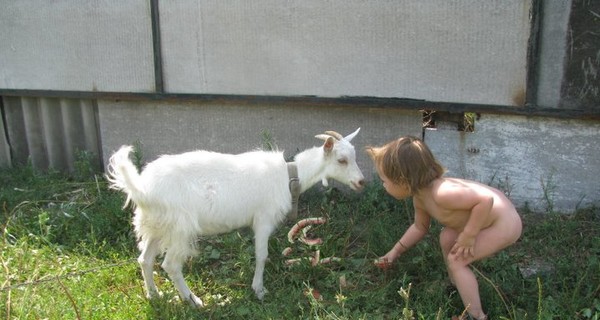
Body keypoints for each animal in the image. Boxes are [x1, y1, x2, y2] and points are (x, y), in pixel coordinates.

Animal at [105, 129, 364, 306]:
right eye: (341, 160)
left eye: (354, 157)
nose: (361, 182)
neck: (288, 175)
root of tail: (143, 188)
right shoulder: (263, 219)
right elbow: (262, 255)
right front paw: (259, 290)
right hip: (179, 226)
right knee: (170, 264)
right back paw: (193, 300)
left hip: (158, 225)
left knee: (145, 259)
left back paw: (154, 295)